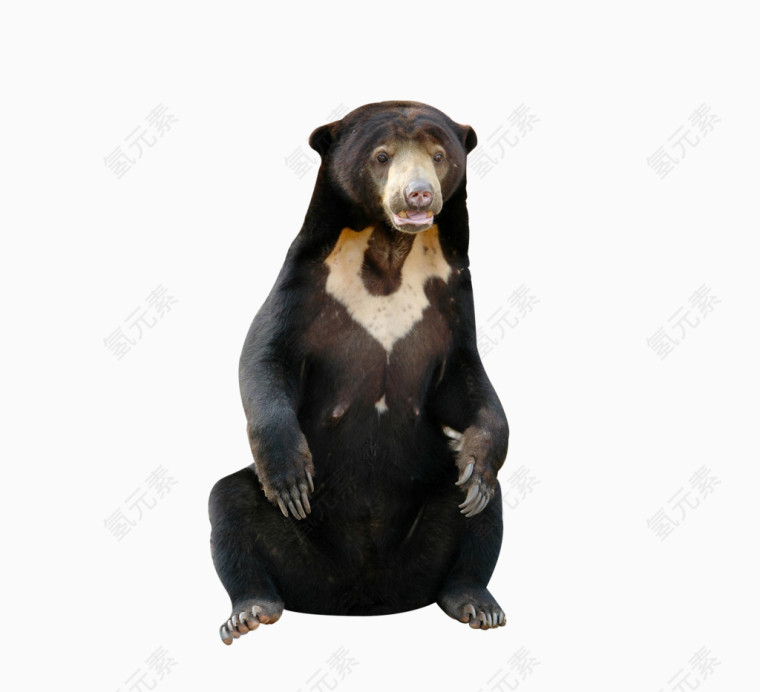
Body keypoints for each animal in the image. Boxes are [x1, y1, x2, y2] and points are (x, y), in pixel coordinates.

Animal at [209, 101, 509, 644]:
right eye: (382, 156)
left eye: (438, 155)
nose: (419, 194)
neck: (389, 250)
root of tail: (364, 598)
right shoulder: (307, 280)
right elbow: (266, 356)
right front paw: (290, 476)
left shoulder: (451, 294)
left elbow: (464, 379)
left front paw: (479, 456)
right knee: (229, 502)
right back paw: (251, 611)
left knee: (480, 507)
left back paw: (475, 601)